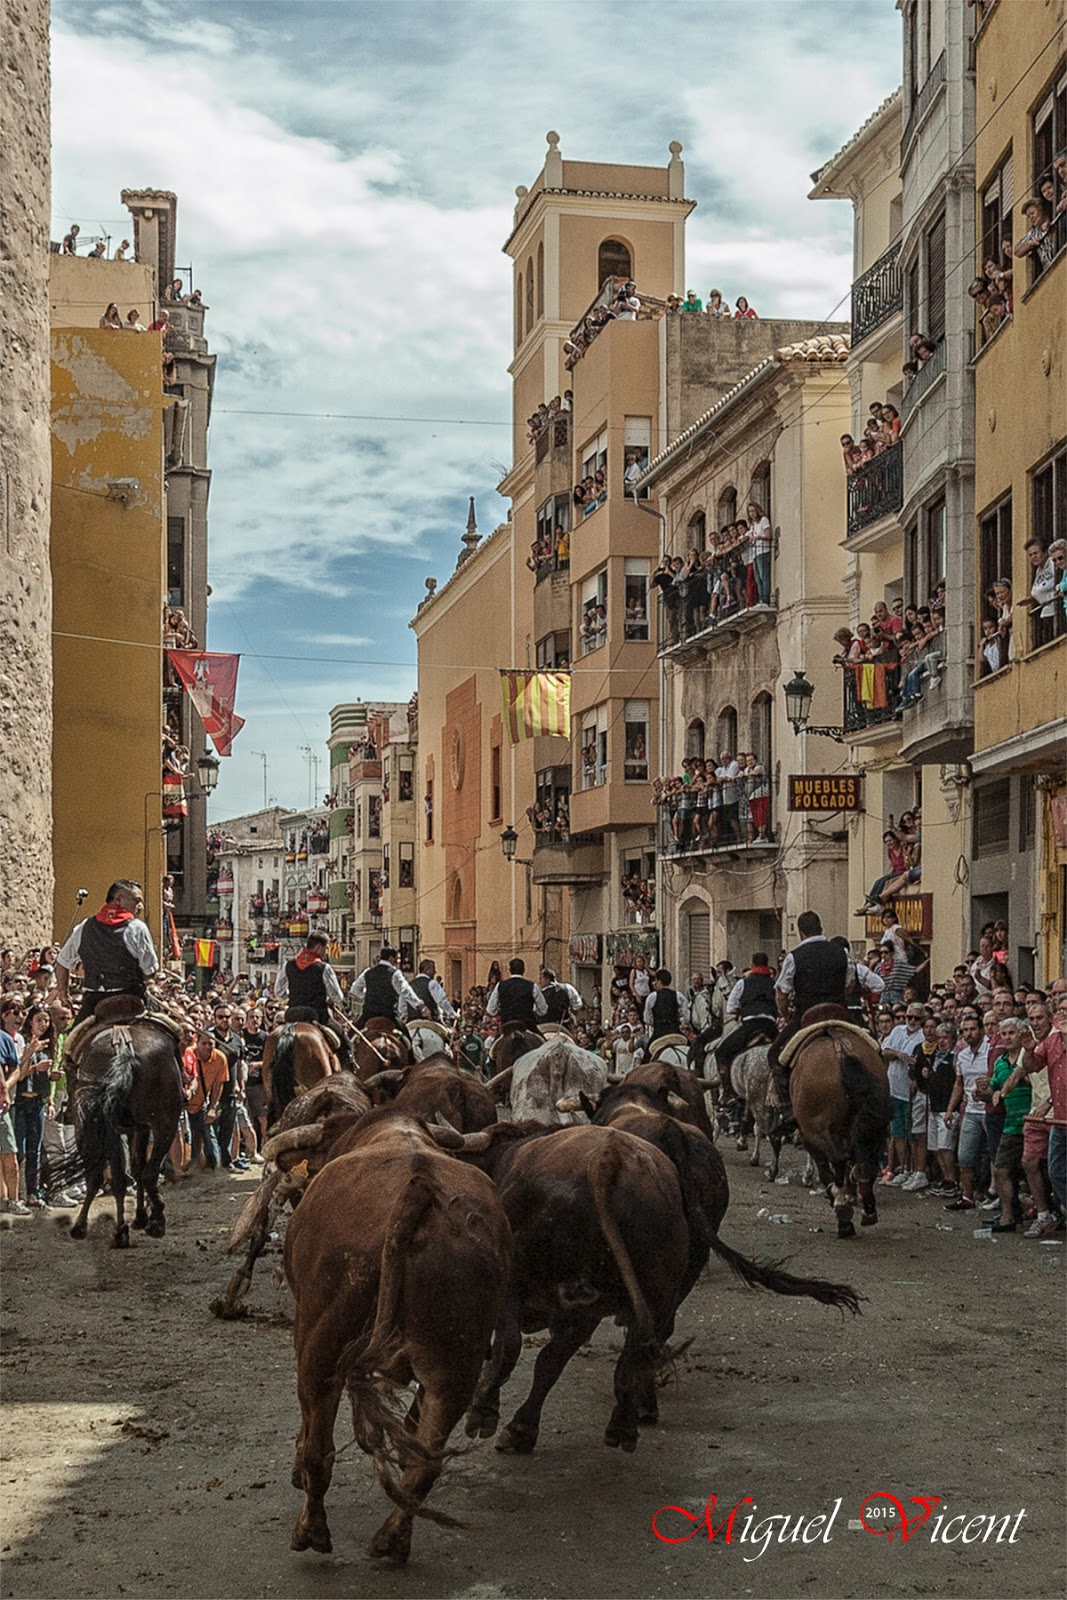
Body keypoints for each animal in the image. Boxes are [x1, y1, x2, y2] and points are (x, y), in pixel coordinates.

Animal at [65, 1004, 184, 1248]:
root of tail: (123, 1047)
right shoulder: (136, 1127)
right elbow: (135, 1169)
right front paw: (138, 1218)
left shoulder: (117, 1129)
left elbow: (119, 1174)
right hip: (165, 1122)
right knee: (148, 1172)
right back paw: (154, 1220)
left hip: (101, 1127)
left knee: (108, 1176)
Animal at [284, 1108, 512, 1565]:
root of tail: (417, 1193)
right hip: (454, 1367)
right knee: (425, 1464)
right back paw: (392, 1539)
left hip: (321, 1348)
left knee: (320, 1450)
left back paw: (311, 1530)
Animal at [782, 1006, 890, 1240]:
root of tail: (841, 1051)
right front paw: (851, 1195)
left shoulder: (810, 1135)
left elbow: (826, 1170)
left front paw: (837, 1196)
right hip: (877, 1127)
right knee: (867, 1162)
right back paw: (867, 1209)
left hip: (817, 1130)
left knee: (838, 1161)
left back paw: (843, 1212)